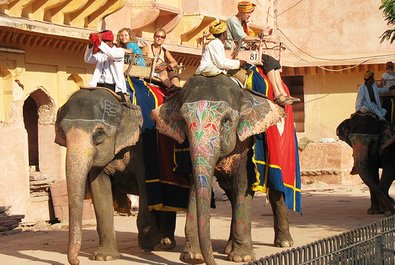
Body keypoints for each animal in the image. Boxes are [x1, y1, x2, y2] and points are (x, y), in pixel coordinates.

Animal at [55, 88, 162, 264]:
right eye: (63, 132)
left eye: (99, 133)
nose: (77, 261)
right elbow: (99, 191)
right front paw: (105, 256)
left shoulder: (140, 147)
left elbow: (145, 187)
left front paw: (148, 245)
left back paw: (162, 244)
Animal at [152, 74, 294, 264]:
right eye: (183, 121)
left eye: (226, 121)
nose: (211, 261)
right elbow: (196, 185)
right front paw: (192, 256)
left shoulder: (246, 142)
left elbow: (243, 182)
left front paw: (242, 257)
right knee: (230, 193)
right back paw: (228, 247)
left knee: (275, 192)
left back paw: (285, 243)